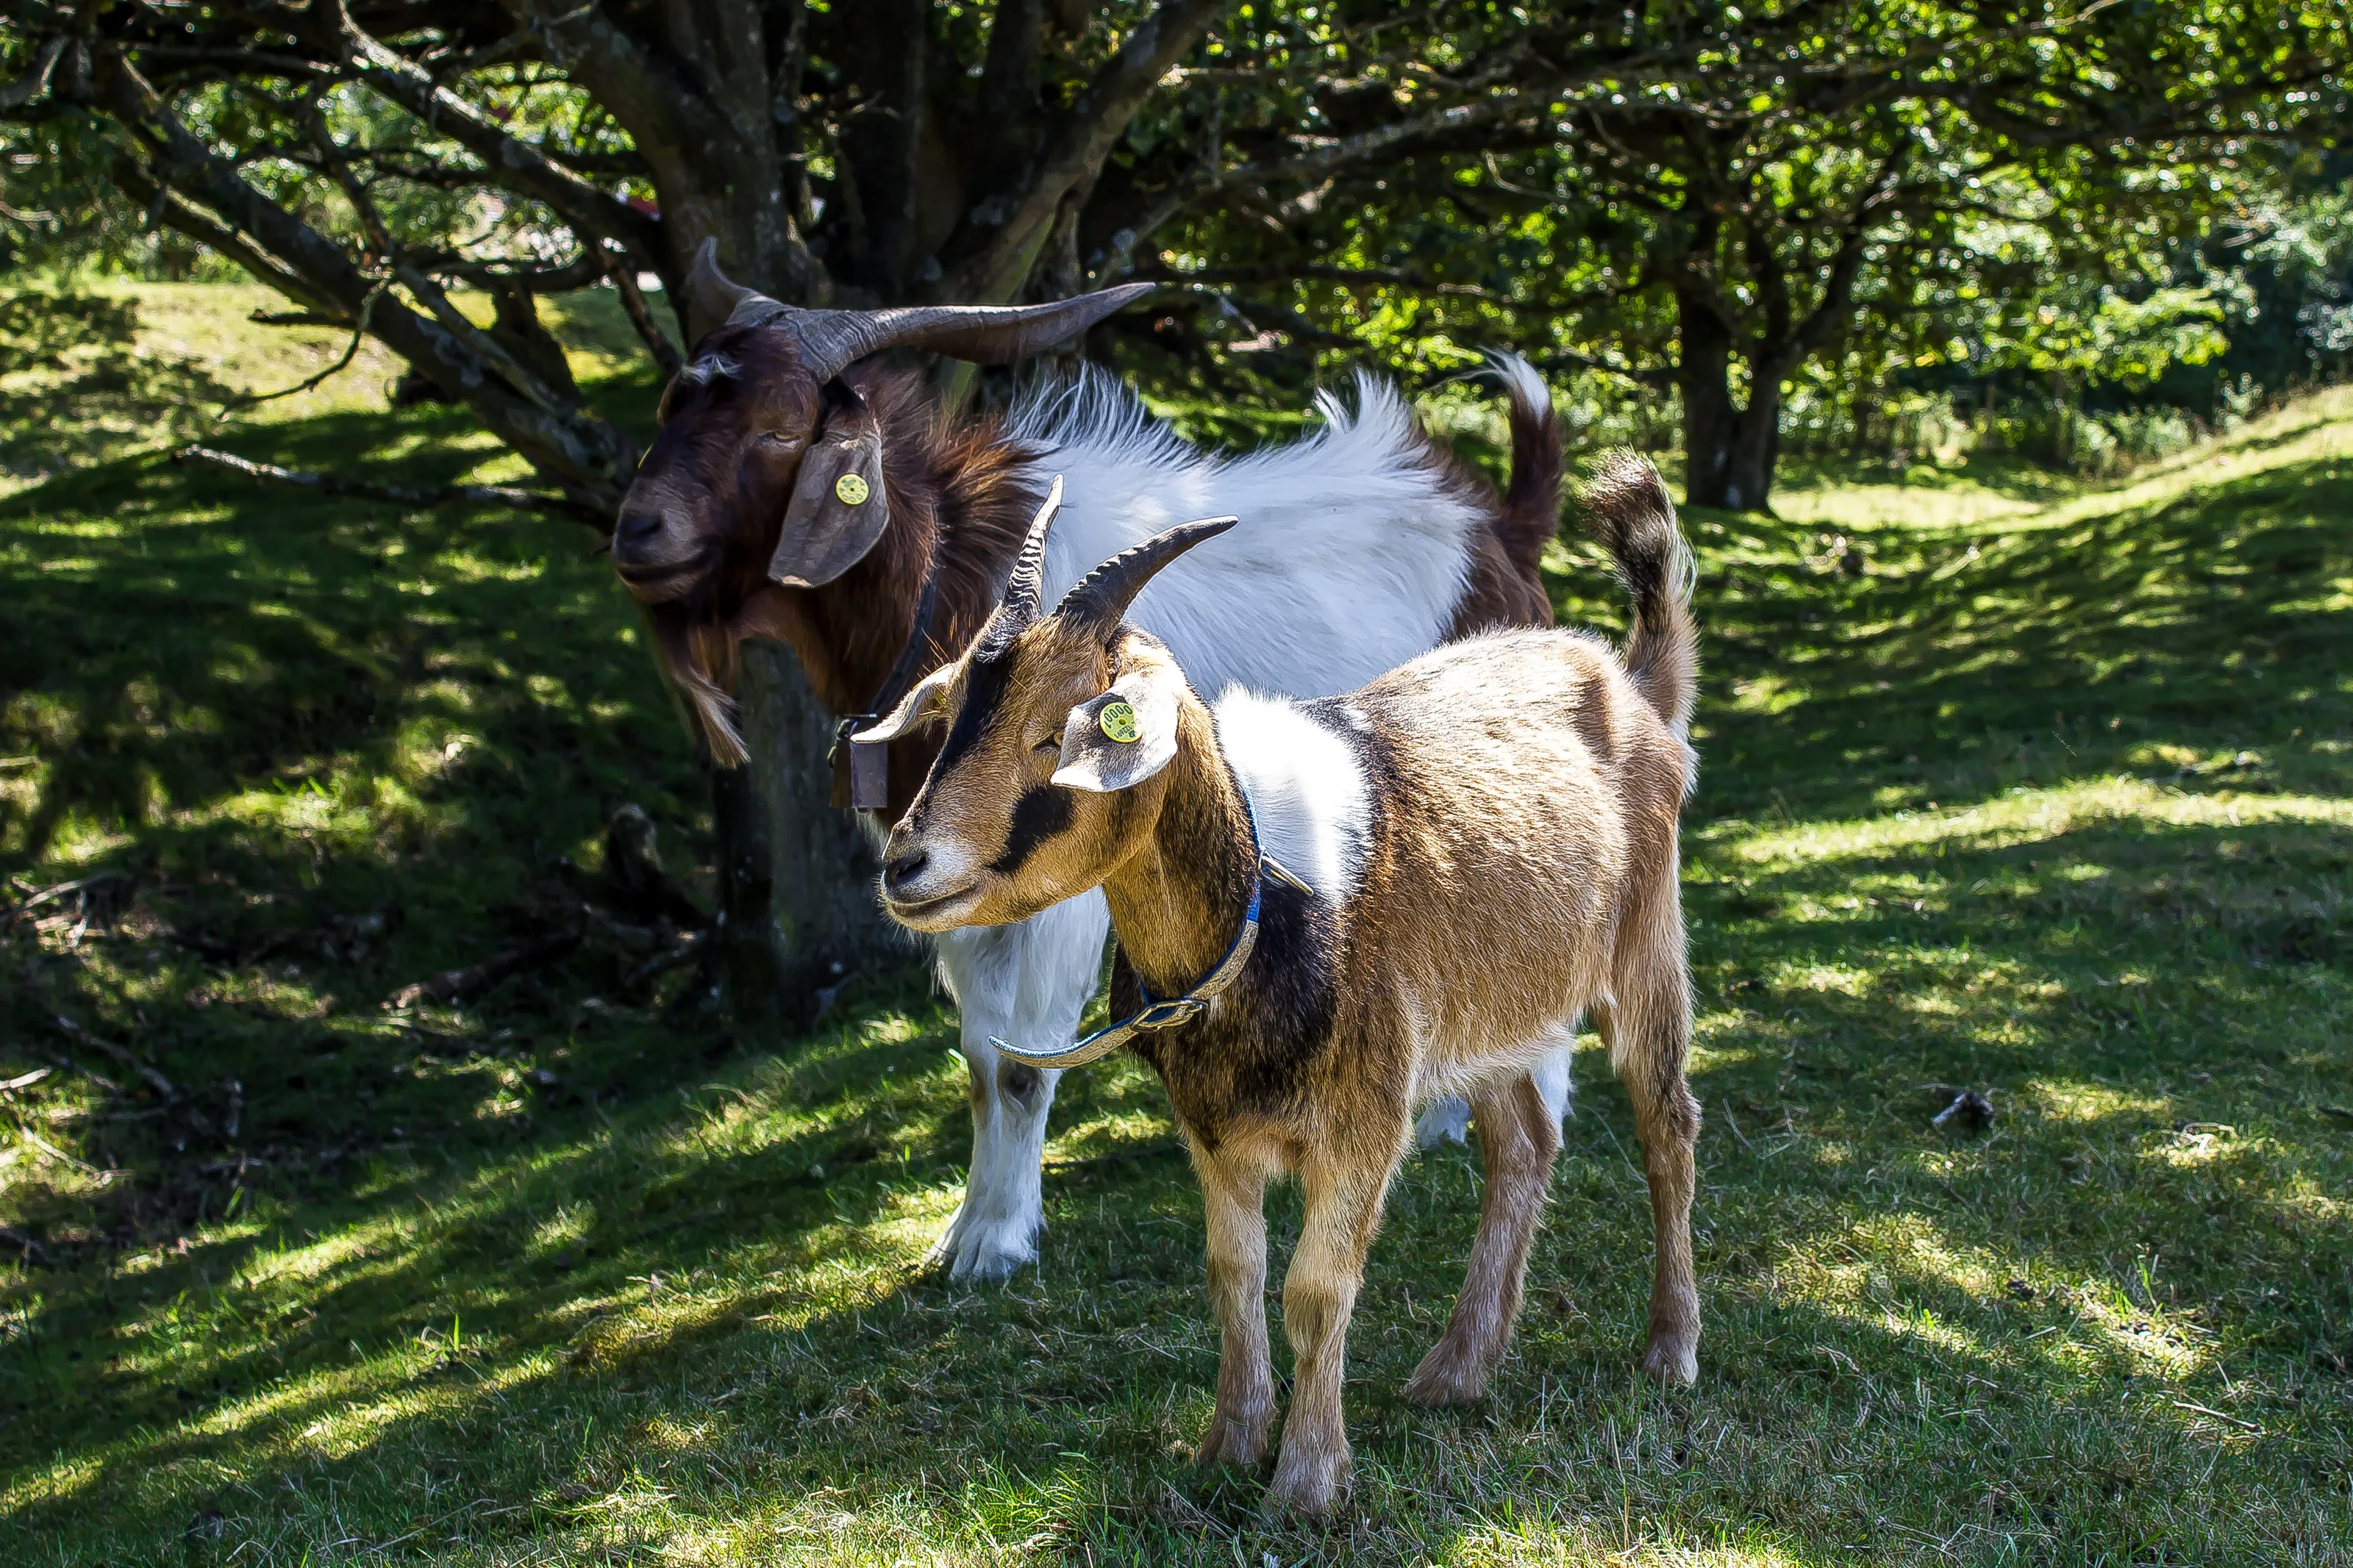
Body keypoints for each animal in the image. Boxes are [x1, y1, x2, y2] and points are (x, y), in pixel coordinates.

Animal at [612, 243, 1569, 1279]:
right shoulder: (951, 877)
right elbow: (980, 1060)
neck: (950, 585)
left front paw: (995, 1242)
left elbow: (1020, 1064)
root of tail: (1499, 526)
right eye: (670, 405)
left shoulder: (1062, 890)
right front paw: (964, 1231)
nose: (636, 533)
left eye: (780, 429)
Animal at [859, 454, 1702, 1515]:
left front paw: (1305, 1479)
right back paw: (1455, 1369)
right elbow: (1233, 1271)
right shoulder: (1213, 1125)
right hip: (1493, 1010)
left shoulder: (1364, 1118)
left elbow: (1313, 1286)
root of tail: (1631, 686)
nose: (907, 865)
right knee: (1524, 1145)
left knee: (1666, 1127)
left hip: (1643, 950)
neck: (1260, 903)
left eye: (1062, 731)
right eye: (954, 714)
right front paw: (1228, 1443)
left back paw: (1670, 1350)